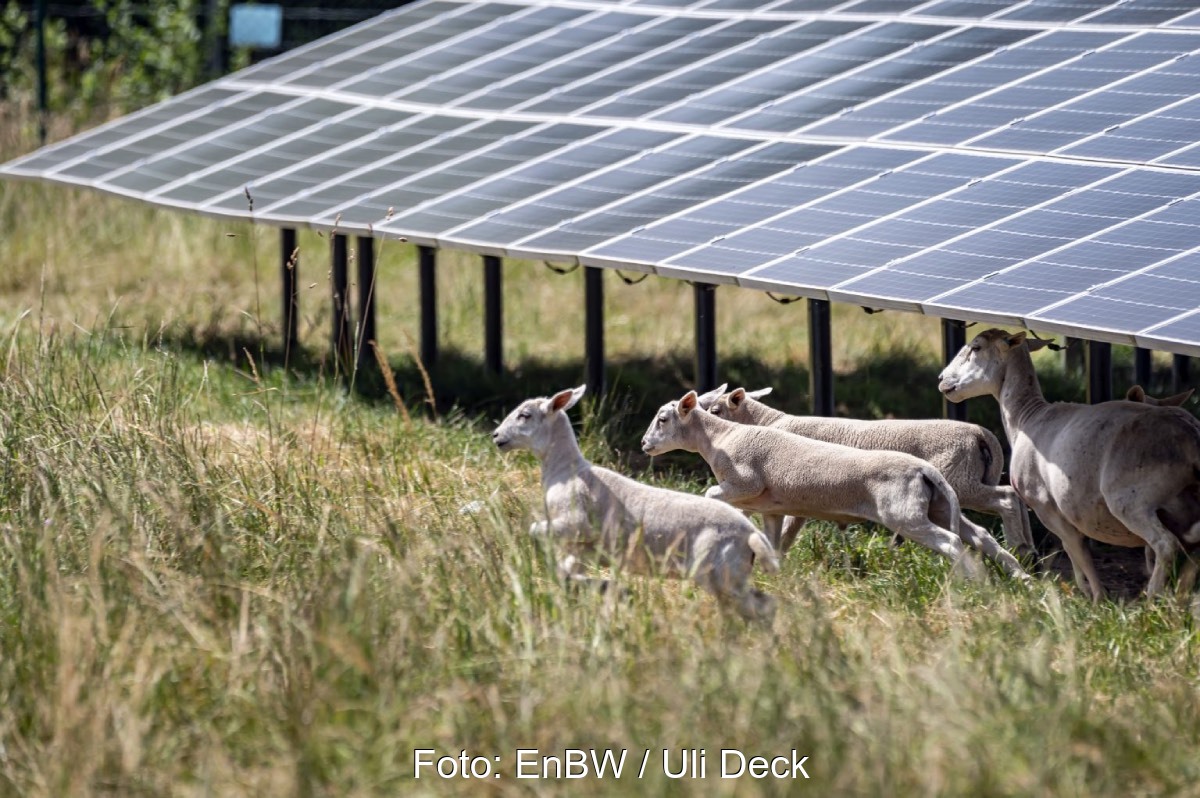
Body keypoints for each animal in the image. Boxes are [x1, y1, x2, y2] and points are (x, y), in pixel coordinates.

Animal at [494, 384, 782, 619]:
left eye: (525, 415)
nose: (496, 436)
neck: (566, 470)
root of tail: (751, 534)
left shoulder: (574, 523)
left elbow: (535, 531)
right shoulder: (584, 546)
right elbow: (566, 571)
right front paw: (603, 587)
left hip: (719, 572)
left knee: (757, 608)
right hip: (731, 575)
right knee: (763, 605)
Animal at [638, 391, 1032, 578]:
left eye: (663, 419)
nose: (643, 445)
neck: (723, 437)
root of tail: (924, 470)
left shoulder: (744, 483)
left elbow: (712, 494)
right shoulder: (773, 507)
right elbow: (775, 540)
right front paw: (774, 570)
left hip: (911, 512)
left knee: (955, 539)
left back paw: (974, 580)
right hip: (940, 504)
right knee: (979, 534)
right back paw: (1015, 575)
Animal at [940, 328, 1200, 597]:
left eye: (976, 347)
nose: (942, 379)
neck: (1026, 417)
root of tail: (1189, 437)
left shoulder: (1048, 507)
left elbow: (1077, 550)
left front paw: (1095, 596)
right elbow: (1077, 552)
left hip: (1132, 501)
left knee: (1165, 544)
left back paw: (1152, 598)